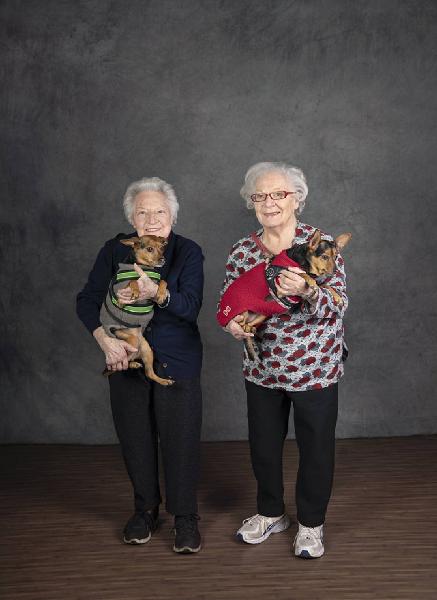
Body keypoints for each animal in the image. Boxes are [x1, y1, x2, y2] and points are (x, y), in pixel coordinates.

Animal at [99, 232, 173, 386]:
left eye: (162, 248)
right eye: (150, 249)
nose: (163, 259)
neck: (143, 266)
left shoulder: (153, 290)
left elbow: (163, 281)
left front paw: (161, 294)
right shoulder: (121, 298)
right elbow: (133, 281)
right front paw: (135, 290)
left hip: (147, 350)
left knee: (148, 372)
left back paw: (162, 380)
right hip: (128, 339)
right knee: (121, 362)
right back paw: (131, 363)